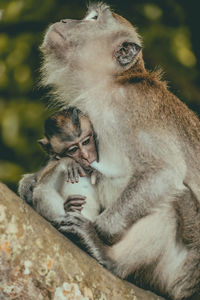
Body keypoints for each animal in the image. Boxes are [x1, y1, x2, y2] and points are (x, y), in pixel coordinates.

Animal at [39, 2, 200, 300]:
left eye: (93, 19)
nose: (65, 19)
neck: (109, 83)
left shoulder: (131, 106)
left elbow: (163, 172)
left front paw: (101, 229)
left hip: (182, 273)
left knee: (173, 200)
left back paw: (109, 257)